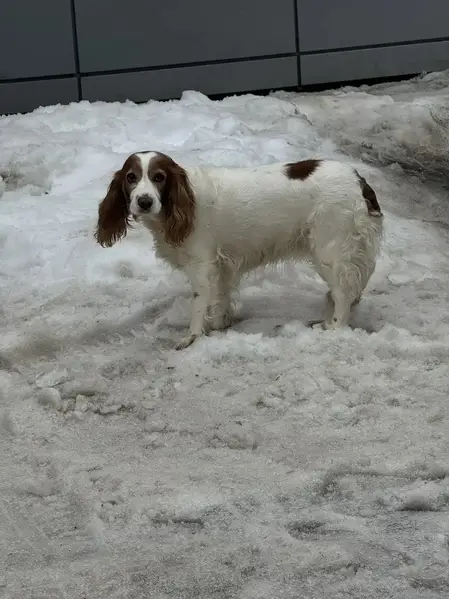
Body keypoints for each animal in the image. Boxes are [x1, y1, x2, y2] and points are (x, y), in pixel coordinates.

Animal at [95, 151, 383, 349]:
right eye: (131, 177)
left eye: (159, 178)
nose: (144, 201)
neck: (183, 202)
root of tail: (358, 179)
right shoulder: (221, 265)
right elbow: (220, 299)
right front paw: (220, 325)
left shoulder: (202, 265)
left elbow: (199, 302)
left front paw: (192, 337)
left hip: (330, 250)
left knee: (343, 294)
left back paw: (332, 326)